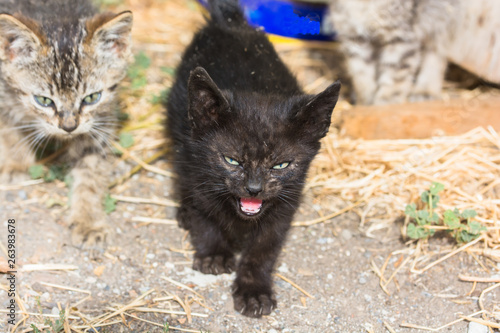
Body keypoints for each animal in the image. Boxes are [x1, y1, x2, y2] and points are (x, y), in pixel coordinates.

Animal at [0, 0, 133, 246]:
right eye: (43, 100)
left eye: (92, 98)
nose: (69, 126)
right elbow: (10, 131)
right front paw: (17, 163)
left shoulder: (98, 123)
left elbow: (90, 171)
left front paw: (88, 220)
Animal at [166, 0, 342, 318]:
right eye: (232, 160)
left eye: (281, 165)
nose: (254, 189)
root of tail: (231, 23)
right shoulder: (198, 170)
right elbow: (205, 217)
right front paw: (214, 254)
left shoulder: (286, 203)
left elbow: (263, 249)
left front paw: (254, 290)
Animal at [328, 0, 500, 104]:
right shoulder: (353, 36)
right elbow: (361, 72)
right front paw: (365, 99)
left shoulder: (401, 35)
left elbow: (396, 72)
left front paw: (387, 100)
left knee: (436, 51)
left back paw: (425, 89)